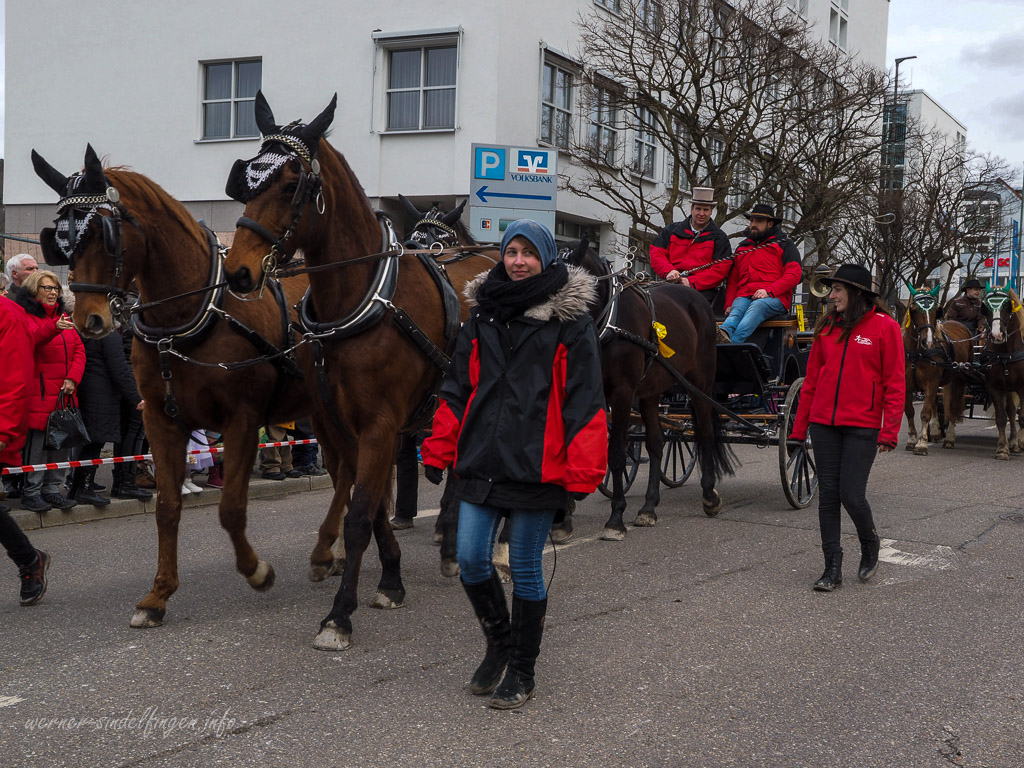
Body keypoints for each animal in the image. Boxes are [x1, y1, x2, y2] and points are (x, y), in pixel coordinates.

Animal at [29, 145, 339, 630]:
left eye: (101, 232)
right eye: (59, 240)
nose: (87, 320)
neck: (193, 317)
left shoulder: (241, 420)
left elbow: (230, 508)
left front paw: (257, 571)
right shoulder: (160, 420)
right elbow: (167, 506)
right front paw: (158, 596)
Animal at [221, 92, 466, 651]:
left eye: (292, 184)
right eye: (247, 181)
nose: (238, 271)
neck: (360, 298)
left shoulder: (379, 424)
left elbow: (357, 517)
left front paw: (338, 615)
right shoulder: (337, 423)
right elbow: (369, 506)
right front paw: (392, 579)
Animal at [560, 239, 733, 539]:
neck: (607, 322)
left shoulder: (621, 394)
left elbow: (617, 452)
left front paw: (615, 518)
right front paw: (565, 511)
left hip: (700, 383)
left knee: (704, 433)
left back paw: (710, 496)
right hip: (651, 392)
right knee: (656, 442)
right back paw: (649, 507)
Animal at [901, 284, 972, 455]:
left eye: (935, 310)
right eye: (914, 310)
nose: (928, 341)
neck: (917, 353)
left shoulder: (931, 382)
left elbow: (925, 413)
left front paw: (921, 443)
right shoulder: (907, 385)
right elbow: (910, 411)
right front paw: (912, 439)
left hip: (959, 380)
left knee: (952, 408)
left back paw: (949, 438)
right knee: (936, 405)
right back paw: (935, 432)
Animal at [980, 287, 1024, 459]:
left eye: (1007, 306)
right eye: (985, 308)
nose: (997, 335)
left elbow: (1023, 417)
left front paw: (1021, 443)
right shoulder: (994, 387)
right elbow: (1001, 417)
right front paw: (1002, 449)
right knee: (1011, 412)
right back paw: (1012, 442)